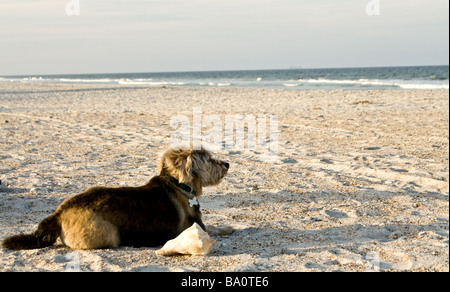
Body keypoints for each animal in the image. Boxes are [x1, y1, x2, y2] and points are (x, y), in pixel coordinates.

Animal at [1, 148, 230, 251]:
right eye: (210, 159)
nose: (227, 164)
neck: (178, 183)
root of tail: (58, 214)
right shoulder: (199, 226)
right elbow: (216, 227)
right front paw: (228, 227)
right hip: (108, 235)